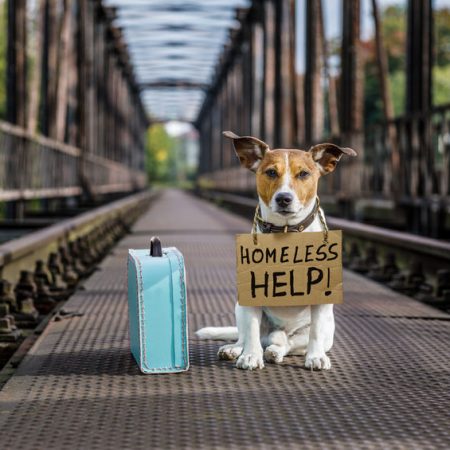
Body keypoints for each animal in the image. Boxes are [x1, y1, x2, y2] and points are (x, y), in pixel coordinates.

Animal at [195, 130, 356, 370]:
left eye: (304, 174)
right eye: (271, 172)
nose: (284, 198)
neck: (286, 234)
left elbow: (315, 333)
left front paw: (315, 356)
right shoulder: (252, 293)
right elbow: (252, 330)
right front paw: (250, 356)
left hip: (322, 330)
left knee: (289, 343)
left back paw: (275, 351)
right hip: (240, 307)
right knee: (247, 335)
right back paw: (236, 349)